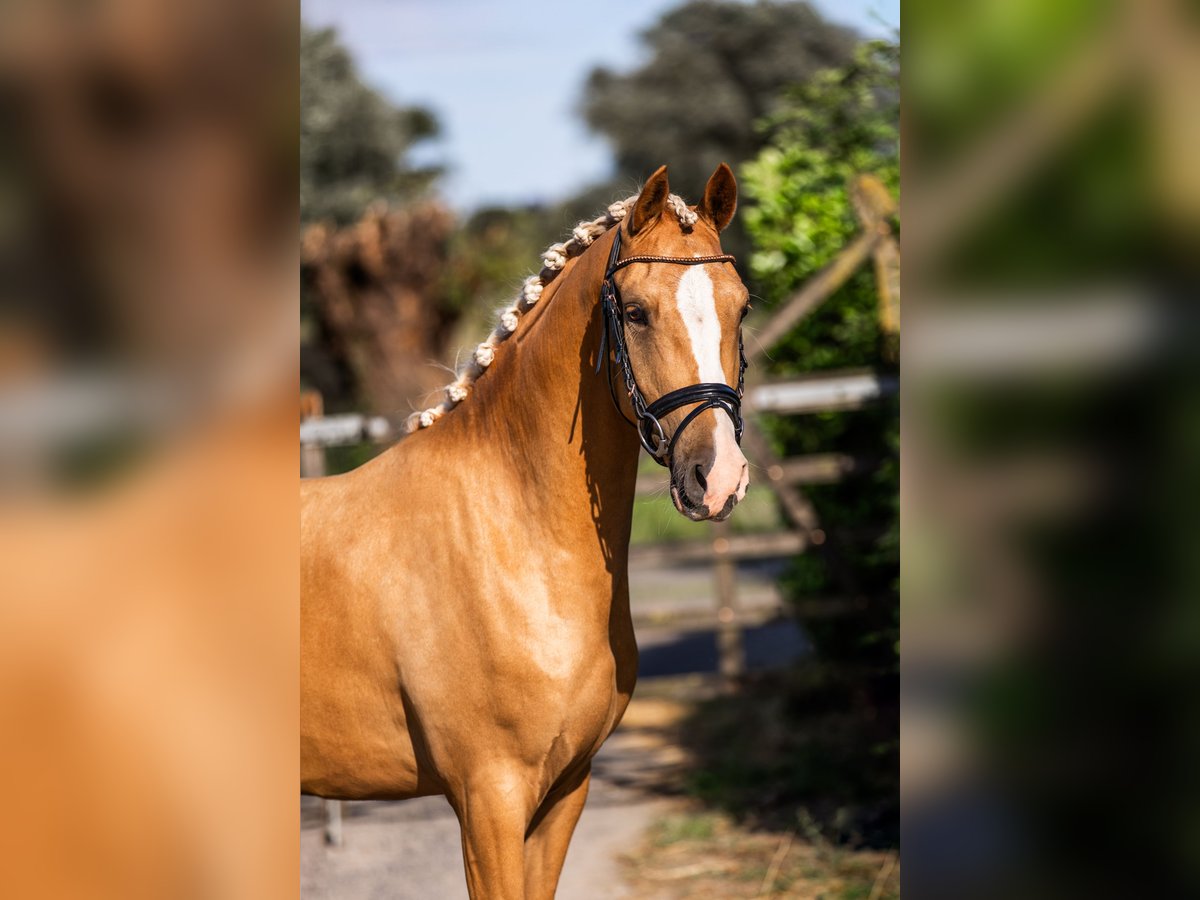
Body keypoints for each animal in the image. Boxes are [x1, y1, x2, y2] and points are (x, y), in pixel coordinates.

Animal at [300, 165, 748, 897]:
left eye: (741, 306)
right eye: (635, 312)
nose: (719, 477)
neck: (513, 538)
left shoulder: (567, 790)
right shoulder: (489, 798)